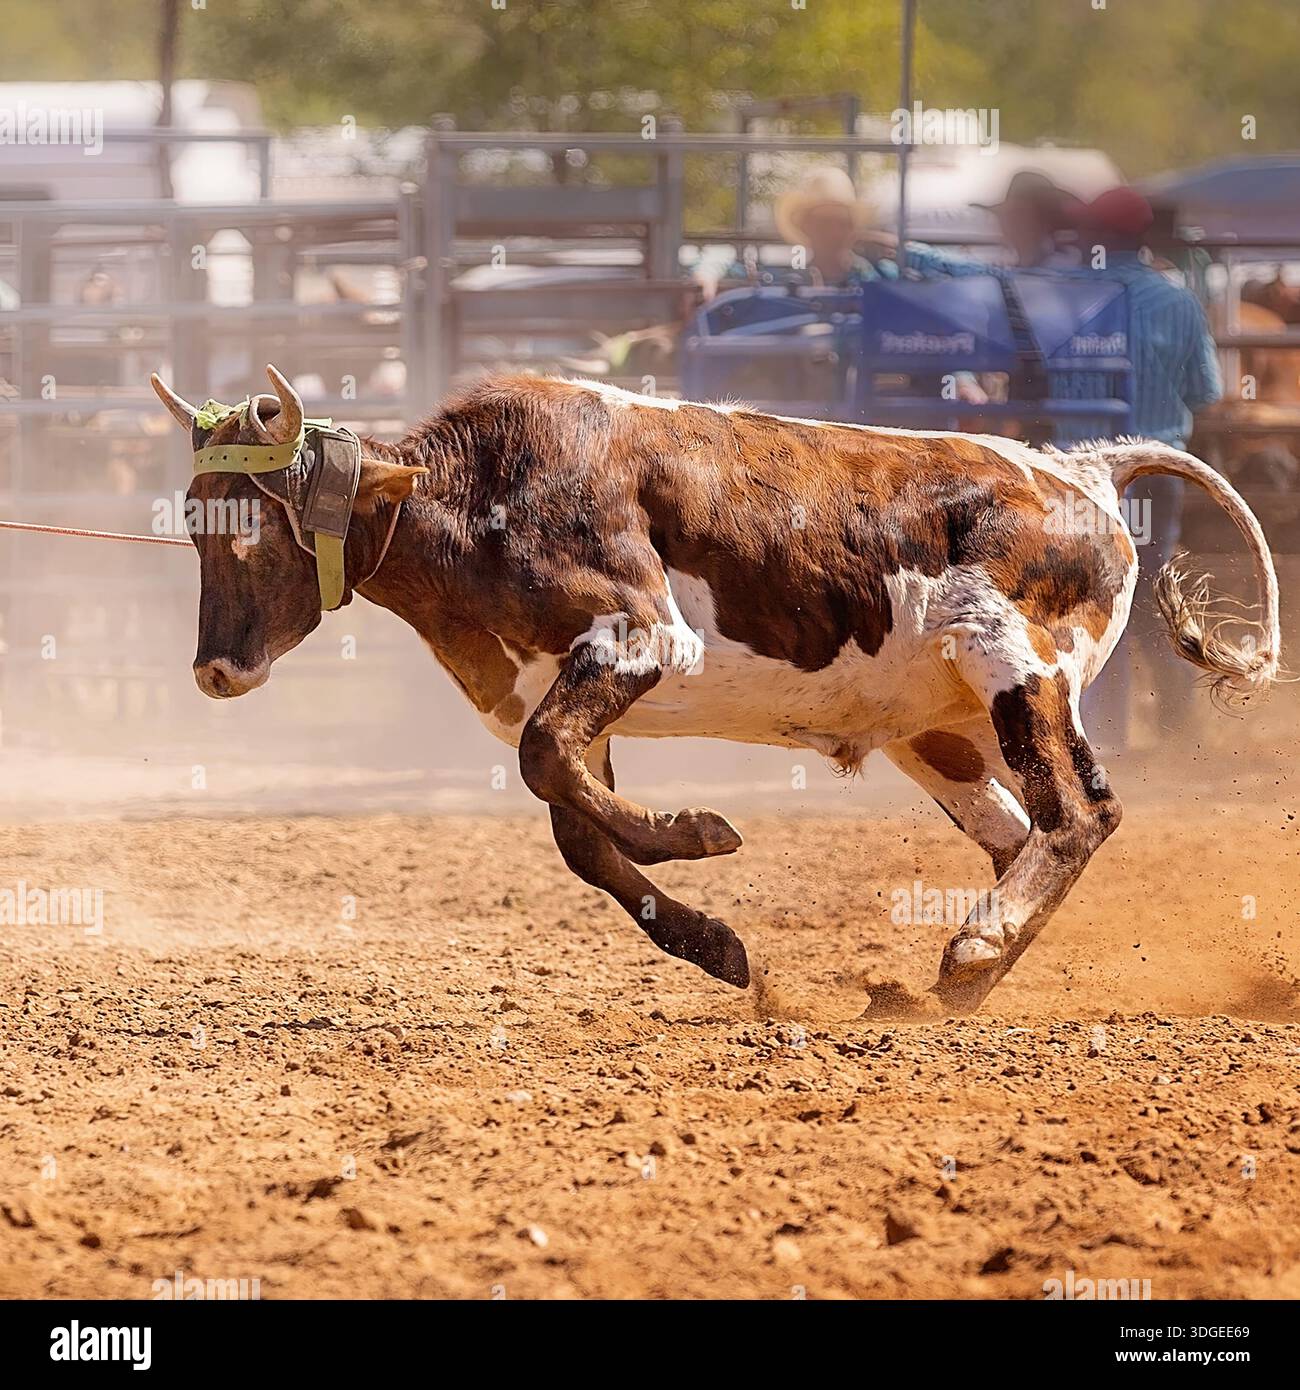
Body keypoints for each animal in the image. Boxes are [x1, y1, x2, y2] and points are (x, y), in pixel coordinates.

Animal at [151, 366, 1281, 1015]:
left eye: (248, 531)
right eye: (192, 527)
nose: (214, 671)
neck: (479, 490)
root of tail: (1079, 469)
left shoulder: (645, 637)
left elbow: (551, 767)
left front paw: (694, 830)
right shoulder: (568, 685)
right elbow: (576, 823)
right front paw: (717, 944)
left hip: (1014, 660)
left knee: (1081, 812)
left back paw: (974, 949)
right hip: (935, 731)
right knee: (1021, 831)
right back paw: (964, 977)